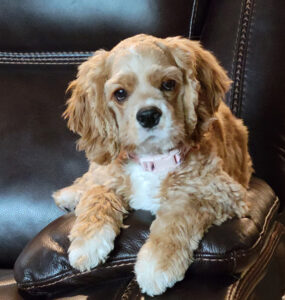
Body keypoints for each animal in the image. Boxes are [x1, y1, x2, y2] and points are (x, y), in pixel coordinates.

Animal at [52, 34, 251, 296]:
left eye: (168, 84)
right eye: (120, 93)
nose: (148, 115)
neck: (152, 160)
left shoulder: (219, 193)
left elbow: (178, 213)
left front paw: (157, 264)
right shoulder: (111, 175)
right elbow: (98, 195)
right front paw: (87, 243)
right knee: (91, 178)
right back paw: (69, 195)